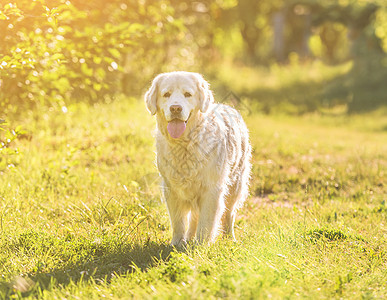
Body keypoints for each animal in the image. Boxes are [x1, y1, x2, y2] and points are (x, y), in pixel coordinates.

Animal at [146, 71, 252, 247]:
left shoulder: (212, 190)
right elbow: (178, 221)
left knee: (229, 215)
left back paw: (230, 238)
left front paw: (201, 246)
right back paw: (189, 237)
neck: (184, 144)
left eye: (187, 94)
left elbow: (206, 222)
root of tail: (229, 107)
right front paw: (177, 243)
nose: (175, 108)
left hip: (235, 185)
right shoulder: (171, 189)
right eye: (166, 94)